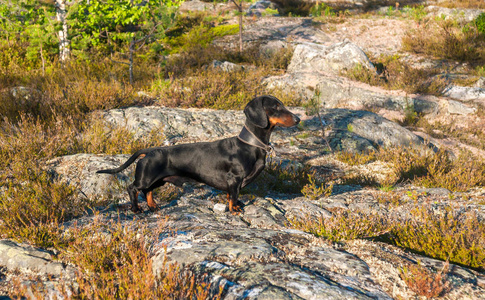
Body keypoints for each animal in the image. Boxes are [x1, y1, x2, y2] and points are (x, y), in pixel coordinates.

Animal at [97, 95, 300, 212]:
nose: (298, 119)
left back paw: (153, 206)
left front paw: (236, 205)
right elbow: (233, 195)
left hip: (159, 181)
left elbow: (232, 195)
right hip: (146, 178)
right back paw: (136, 209)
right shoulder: (234, 179)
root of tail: (150, 150)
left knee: (148, 192)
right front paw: (234, 209)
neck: (250, 145)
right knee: (133, 188)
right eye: (276, 107)